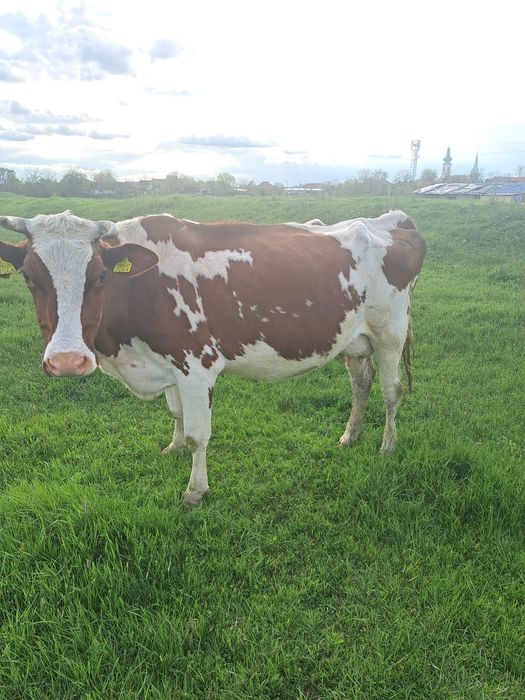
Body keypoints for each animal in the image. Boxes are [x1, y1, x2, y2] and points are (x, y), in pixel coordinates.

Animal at [0, 210, 425, 504]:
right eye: (29, 278)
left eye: (101, 276)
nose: (67, 361)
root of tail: (389, 220)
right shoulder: (168, 363)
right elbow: (175, 414)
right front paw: (171, 448)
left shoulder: (196, 365)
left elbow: (197, 434)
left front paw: (195, 489)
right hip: (355, 339)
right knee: (361, 383)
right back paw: (350, 436)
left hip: (390, 332)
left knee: (391, 391)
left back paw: (387, 446)